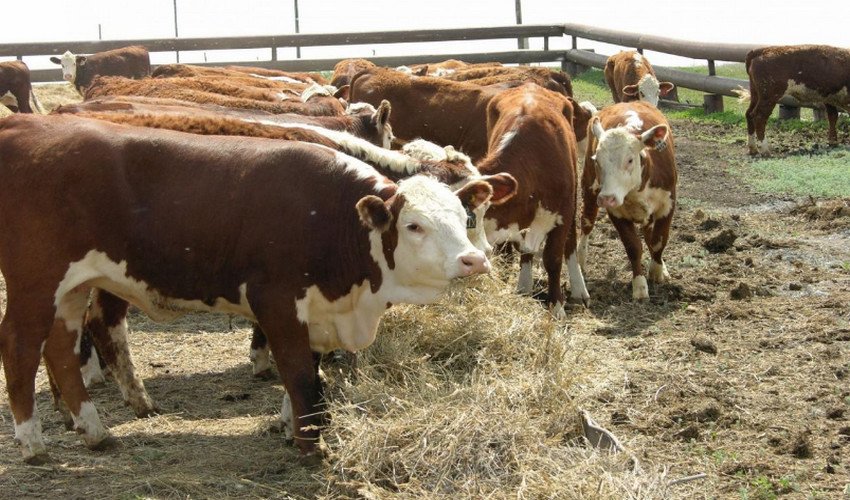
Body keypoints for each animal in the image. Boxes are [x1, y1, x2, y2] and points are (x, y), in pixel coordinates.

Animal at [0, 113, 495, 463]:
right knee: (22, 347)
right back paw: (33, 443)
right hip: (35, 282)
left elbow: (309, 373)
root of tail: (24, 124)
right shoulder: (277, 302)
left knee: (61, 347)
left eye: (463, 217)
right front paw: (311, 446)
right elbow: (300, 375)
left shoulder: (316, 309)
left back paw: (94, 432)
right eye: (414, 225)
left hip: (71, 287)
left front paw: (290, 426)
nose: (474, 260)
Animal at [579, 101, 678, 300]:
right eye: (597, 160)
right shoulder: (616, 212)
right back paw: (580, 259)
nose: (606, 198)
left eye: (630, 160)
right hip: (589, 189)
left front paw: (657, 271)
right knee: (586, 223)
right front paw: (639, 286)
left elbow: (658, 240)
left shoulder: (668, 204)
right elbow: (633, 247)